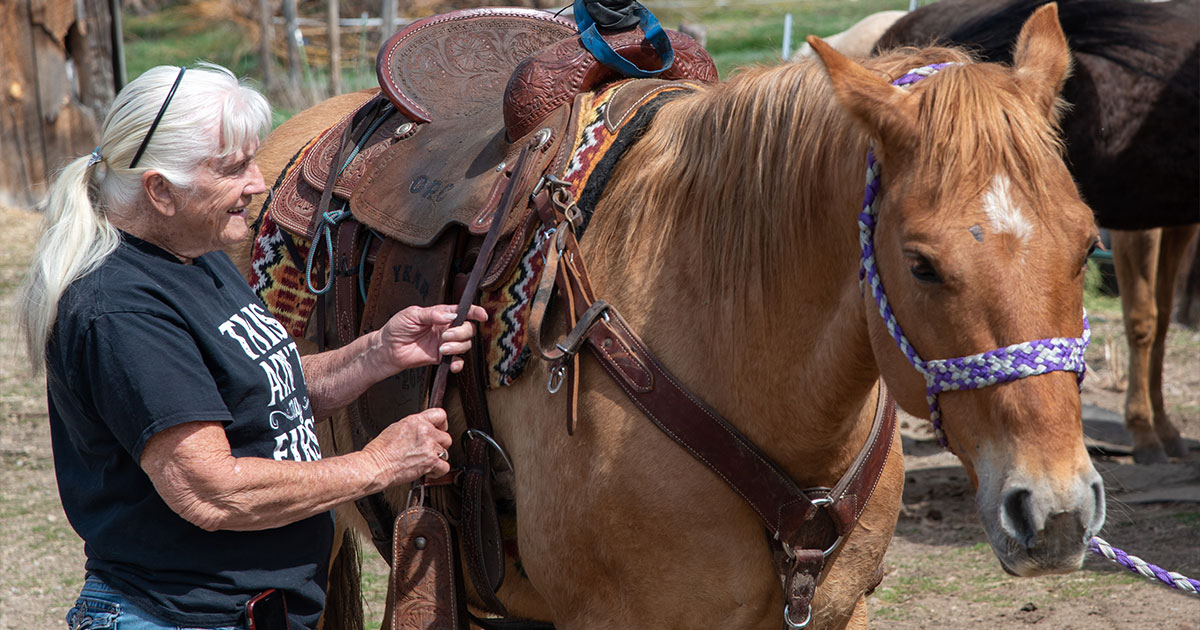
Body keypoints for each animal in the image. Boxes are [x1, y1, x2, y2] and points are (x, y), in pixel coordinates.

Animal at [878, 0, 1200, 460]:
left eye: (1089, 249)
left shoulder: (1177, 220)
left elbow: (1161, 324)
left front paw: (1164, 428)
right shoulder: (1139, 220)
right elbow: (1144, 321)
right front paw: (1144, 432)